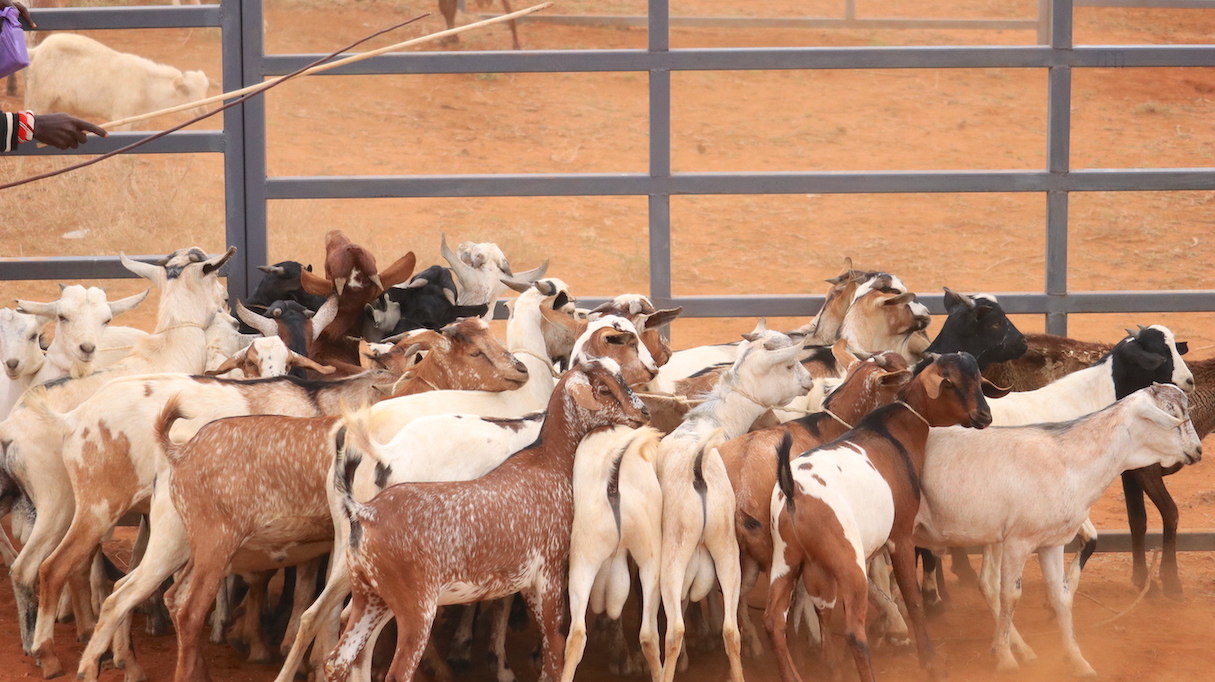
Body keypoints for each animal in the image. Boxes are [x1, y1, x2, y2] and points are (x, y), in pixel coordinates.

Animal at [320, 364, 646, 682]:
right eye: (604, 389)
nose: (643, 411)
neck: (550, 462)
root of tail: (364, 512)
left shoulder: (525, 581)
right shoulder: (549, 573)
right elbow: (555, 646)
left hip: (369, 595)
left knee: (338, 660)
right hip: (416, 609)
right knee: (397, 672)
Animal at [767, 350, 996, 680]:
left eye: (978, 379)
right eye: (950, 383)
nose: (984, 416)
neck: (890, 435)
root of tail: (792, 487)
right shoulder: (900, 535)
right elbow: (912, 597)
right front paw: (929, 660)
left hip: (786, 561)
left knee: (776, 623)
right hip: (849, 565)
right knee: (853, 632)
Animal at [913, 384, 1200, 675]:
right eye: (1171, 413)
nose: (1198, 450)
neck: (1069, 461)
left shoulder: (1052, 542)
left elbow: (1060, 596)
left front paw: (1077, 660)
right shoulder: (1018, 541)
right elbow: (1011, 595)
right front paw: (1005, 658)